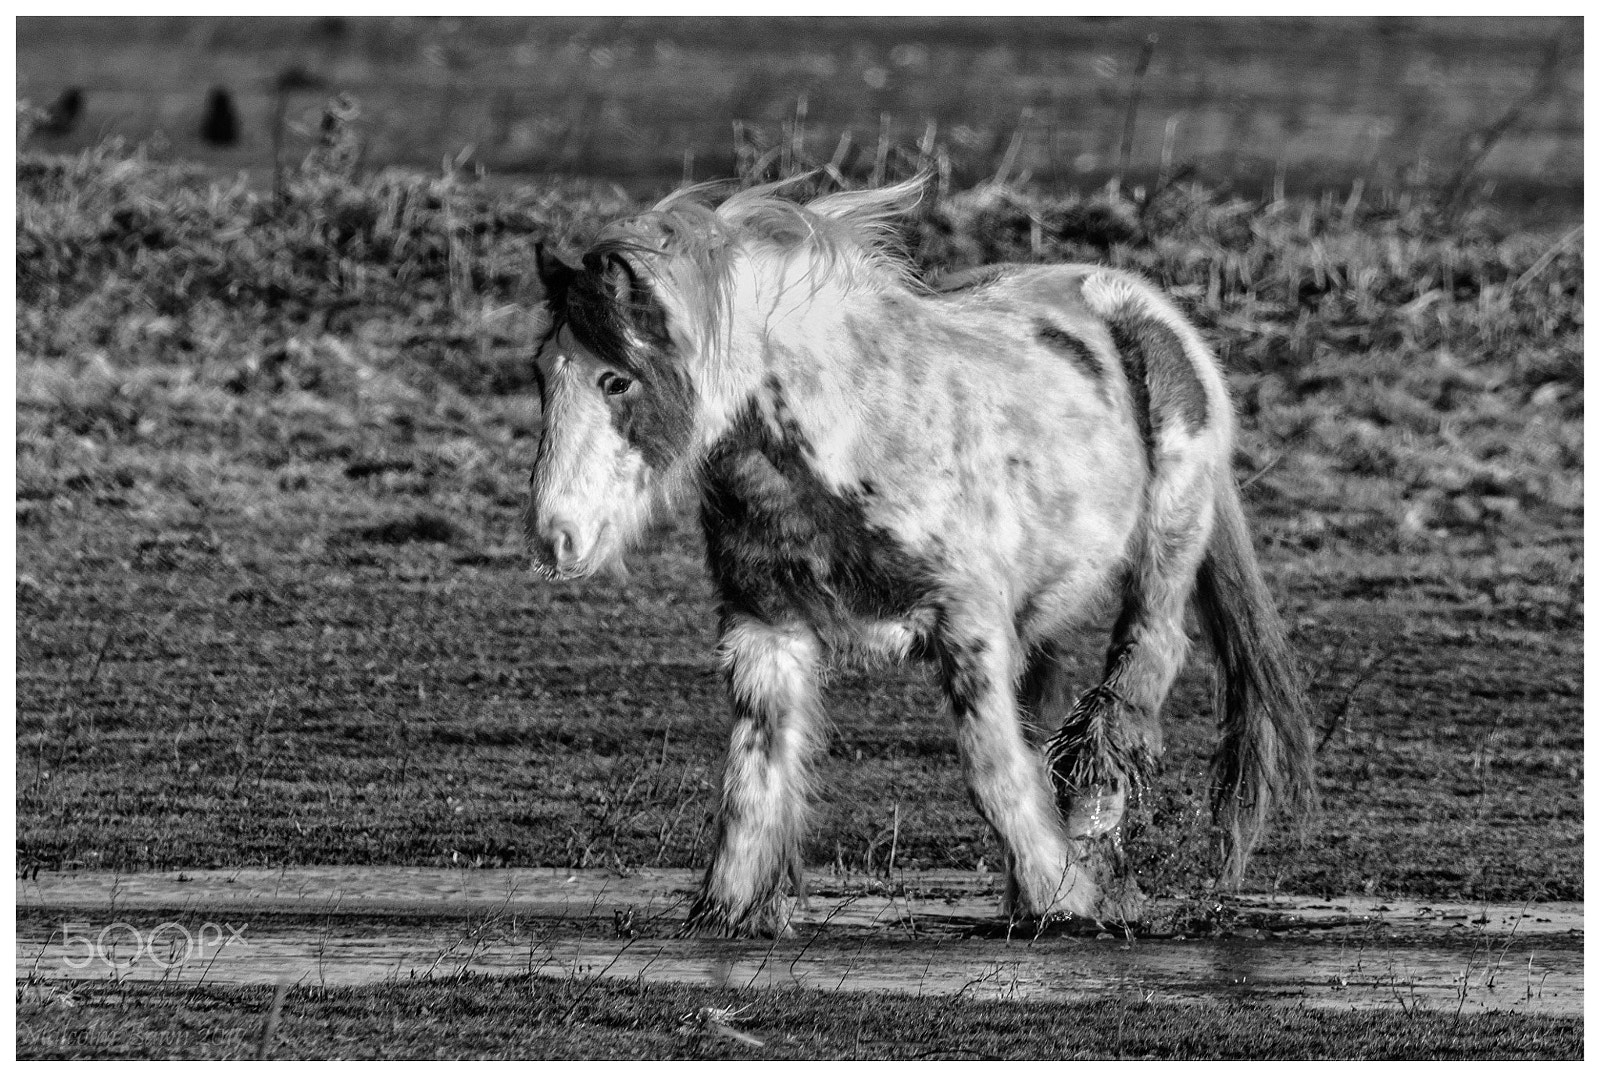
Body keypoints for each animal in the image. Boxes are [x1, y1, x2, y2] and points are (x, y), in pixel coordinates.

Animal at [525, 175, 1316, 936]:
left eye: (616, 378)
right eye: (542, 372)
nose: (554, 537)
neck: (854, 434)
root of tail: (1150, 309)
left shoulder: (967, 621)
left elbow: (992, 770)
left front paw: (1064, 898)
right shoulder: (764, 628)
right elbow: (754, 779)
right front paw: (728, 909)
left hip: (1168, 539)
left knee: (1138, 671)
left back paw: (1092, 843)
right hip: (1042, 611)